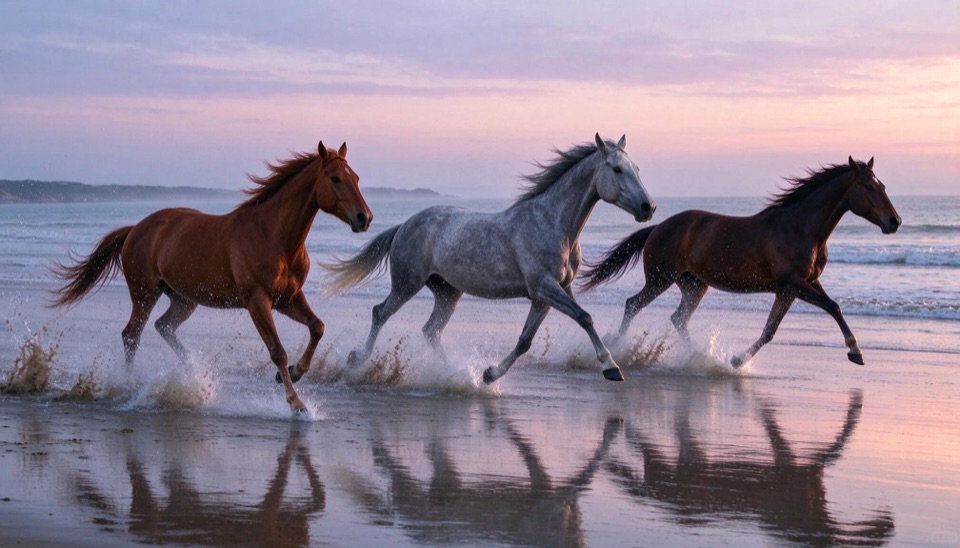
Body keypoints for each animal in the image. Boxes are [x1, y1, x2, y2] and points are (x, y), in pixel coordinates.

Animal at [49, 141, 372, 414]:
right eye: (335, 178)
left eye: (356, 177)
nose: (364, 218)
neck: (274, 235)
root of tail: (135, 228)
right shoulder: (258, 301)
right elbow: (277, 352)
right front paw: (297, 404)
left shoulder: (288, 298)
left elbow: (317, 327)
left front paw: (293, 373)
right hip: (144, 294)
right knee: (132, 334)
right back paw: (130, 385)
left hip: (183, 299)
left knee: (164, 326)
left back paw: (193, 373)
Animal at [320, 134, 655, 383]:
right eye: (616, 169)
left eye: (638, 168)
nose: (648, 207)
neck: (552, 222)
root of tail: (404, 225)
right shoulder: (544, 287)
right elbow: (585, 317)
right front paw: (611, 367)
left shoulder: (548, 294)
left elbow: (525, 341)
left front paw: (490, 374)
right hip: (407, 283)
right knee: (380, 313)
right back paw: (358, 359)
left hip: (447, 292)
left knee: (431, 330)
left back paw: (453, 374)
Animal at [580, 157, 900, 367]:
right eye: (870, 188)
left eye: (883, 185)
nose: (894, 221)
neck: (800, 228)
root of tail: (657, 227)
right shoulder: (793, 284)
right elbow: (832, 306)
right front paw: (855, 351)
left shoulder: (796, 287)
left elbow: (771, 330)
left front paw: (736, 360)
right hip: (661, 278)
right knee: (633, 304)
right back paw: (617, 348)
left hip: (694, 286)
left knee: (678, 318)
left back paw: (697, 356)